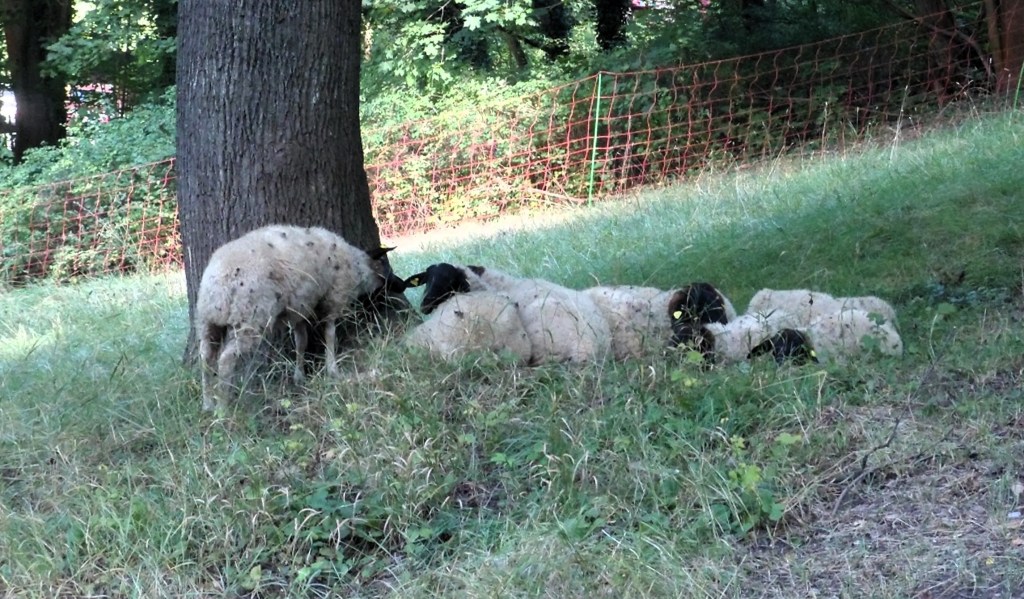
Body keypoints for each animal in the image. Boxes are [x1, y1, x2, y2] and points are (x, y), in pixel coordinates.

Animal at [196, 224, 400, 411]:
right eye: (383, 266)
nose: (398, 284)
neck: (357, 266)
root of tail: (219, 283)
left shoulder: (300, 307)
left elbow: (301, 341)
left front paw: (299, 375)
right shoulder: (333, 297)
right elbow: (330, 334)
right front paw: (332, 369)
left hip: (208, 321)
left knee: (206, 357)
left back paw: (207, 404)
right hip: (249, 318)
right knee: (225, 360)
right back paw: (222, 408)